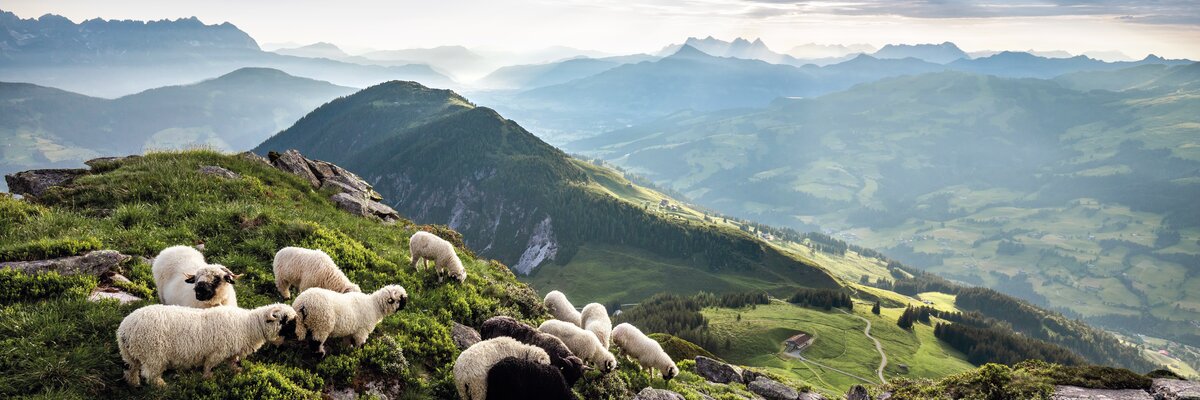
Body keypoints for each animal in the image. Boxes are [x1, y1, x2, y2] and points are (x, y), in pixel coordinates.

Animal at [115, 302, 296, 386]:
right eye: (287, 321)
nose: (297, 337)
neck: (248, 325)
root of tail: (125, 329)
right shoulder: (217, 352)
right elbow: (209, 365)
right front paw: (208, 378)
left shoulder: (231, 352)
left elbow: (232, 362)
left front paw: (236, 370)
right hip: (153, 354)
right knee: (151, 374)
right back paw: (161, 386)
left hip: (130, 355)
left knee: (131, 370)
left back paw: (134, 384)